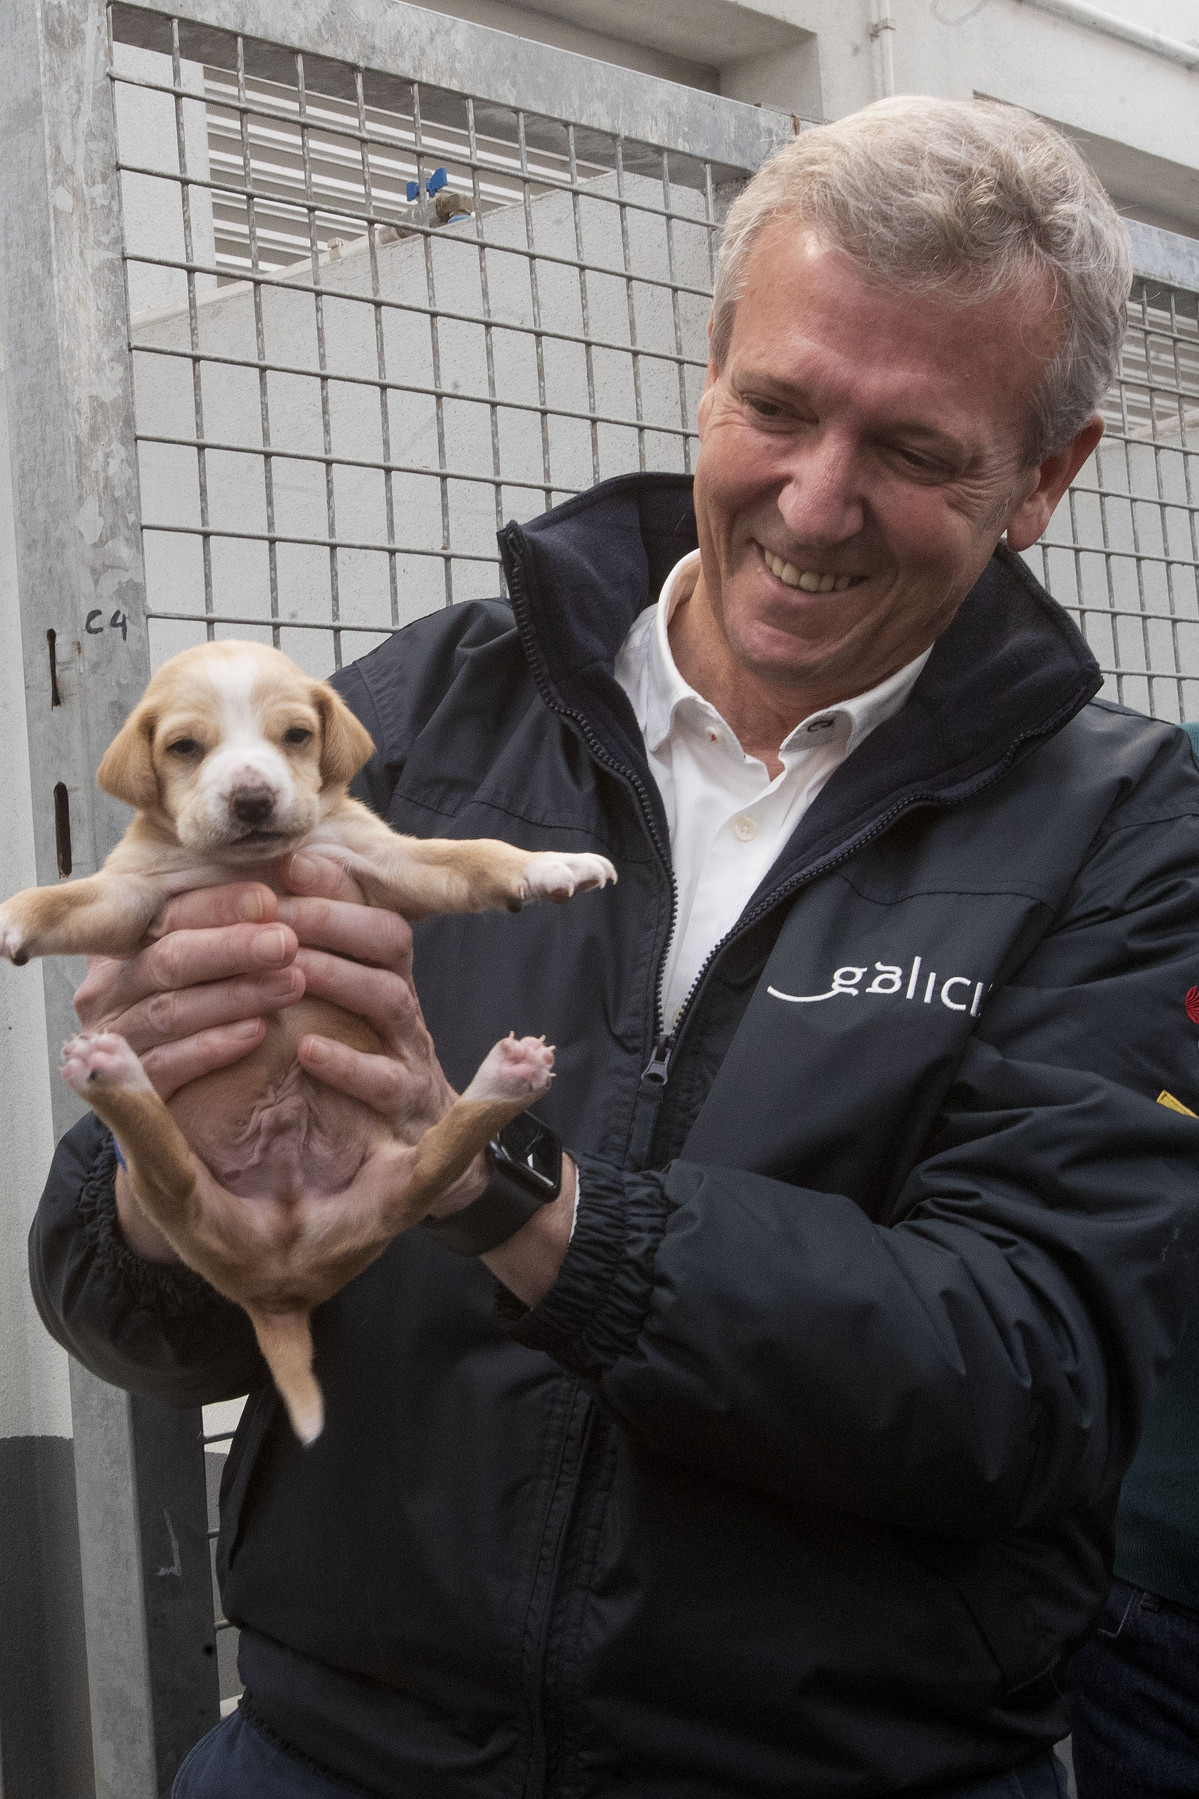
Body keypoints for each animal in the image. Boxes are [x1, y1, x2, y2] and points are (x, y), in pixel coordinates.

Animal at [2, 640, 615, 1439]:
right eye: (185, 748)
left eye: (295, 735)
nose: (253, 799)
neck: (255, 862)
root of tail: (282, 1284)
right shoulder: (134, 894)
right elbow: (67, 898)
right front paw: (11, 917)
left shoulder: (387, 859)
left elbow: (475, 853)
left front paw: (553, 865)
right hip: (181, 1199)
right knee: (159, 1158)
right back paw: (111, 1069)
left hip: (391, 1184)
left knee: (439, 1160)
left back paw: (506, 1078)